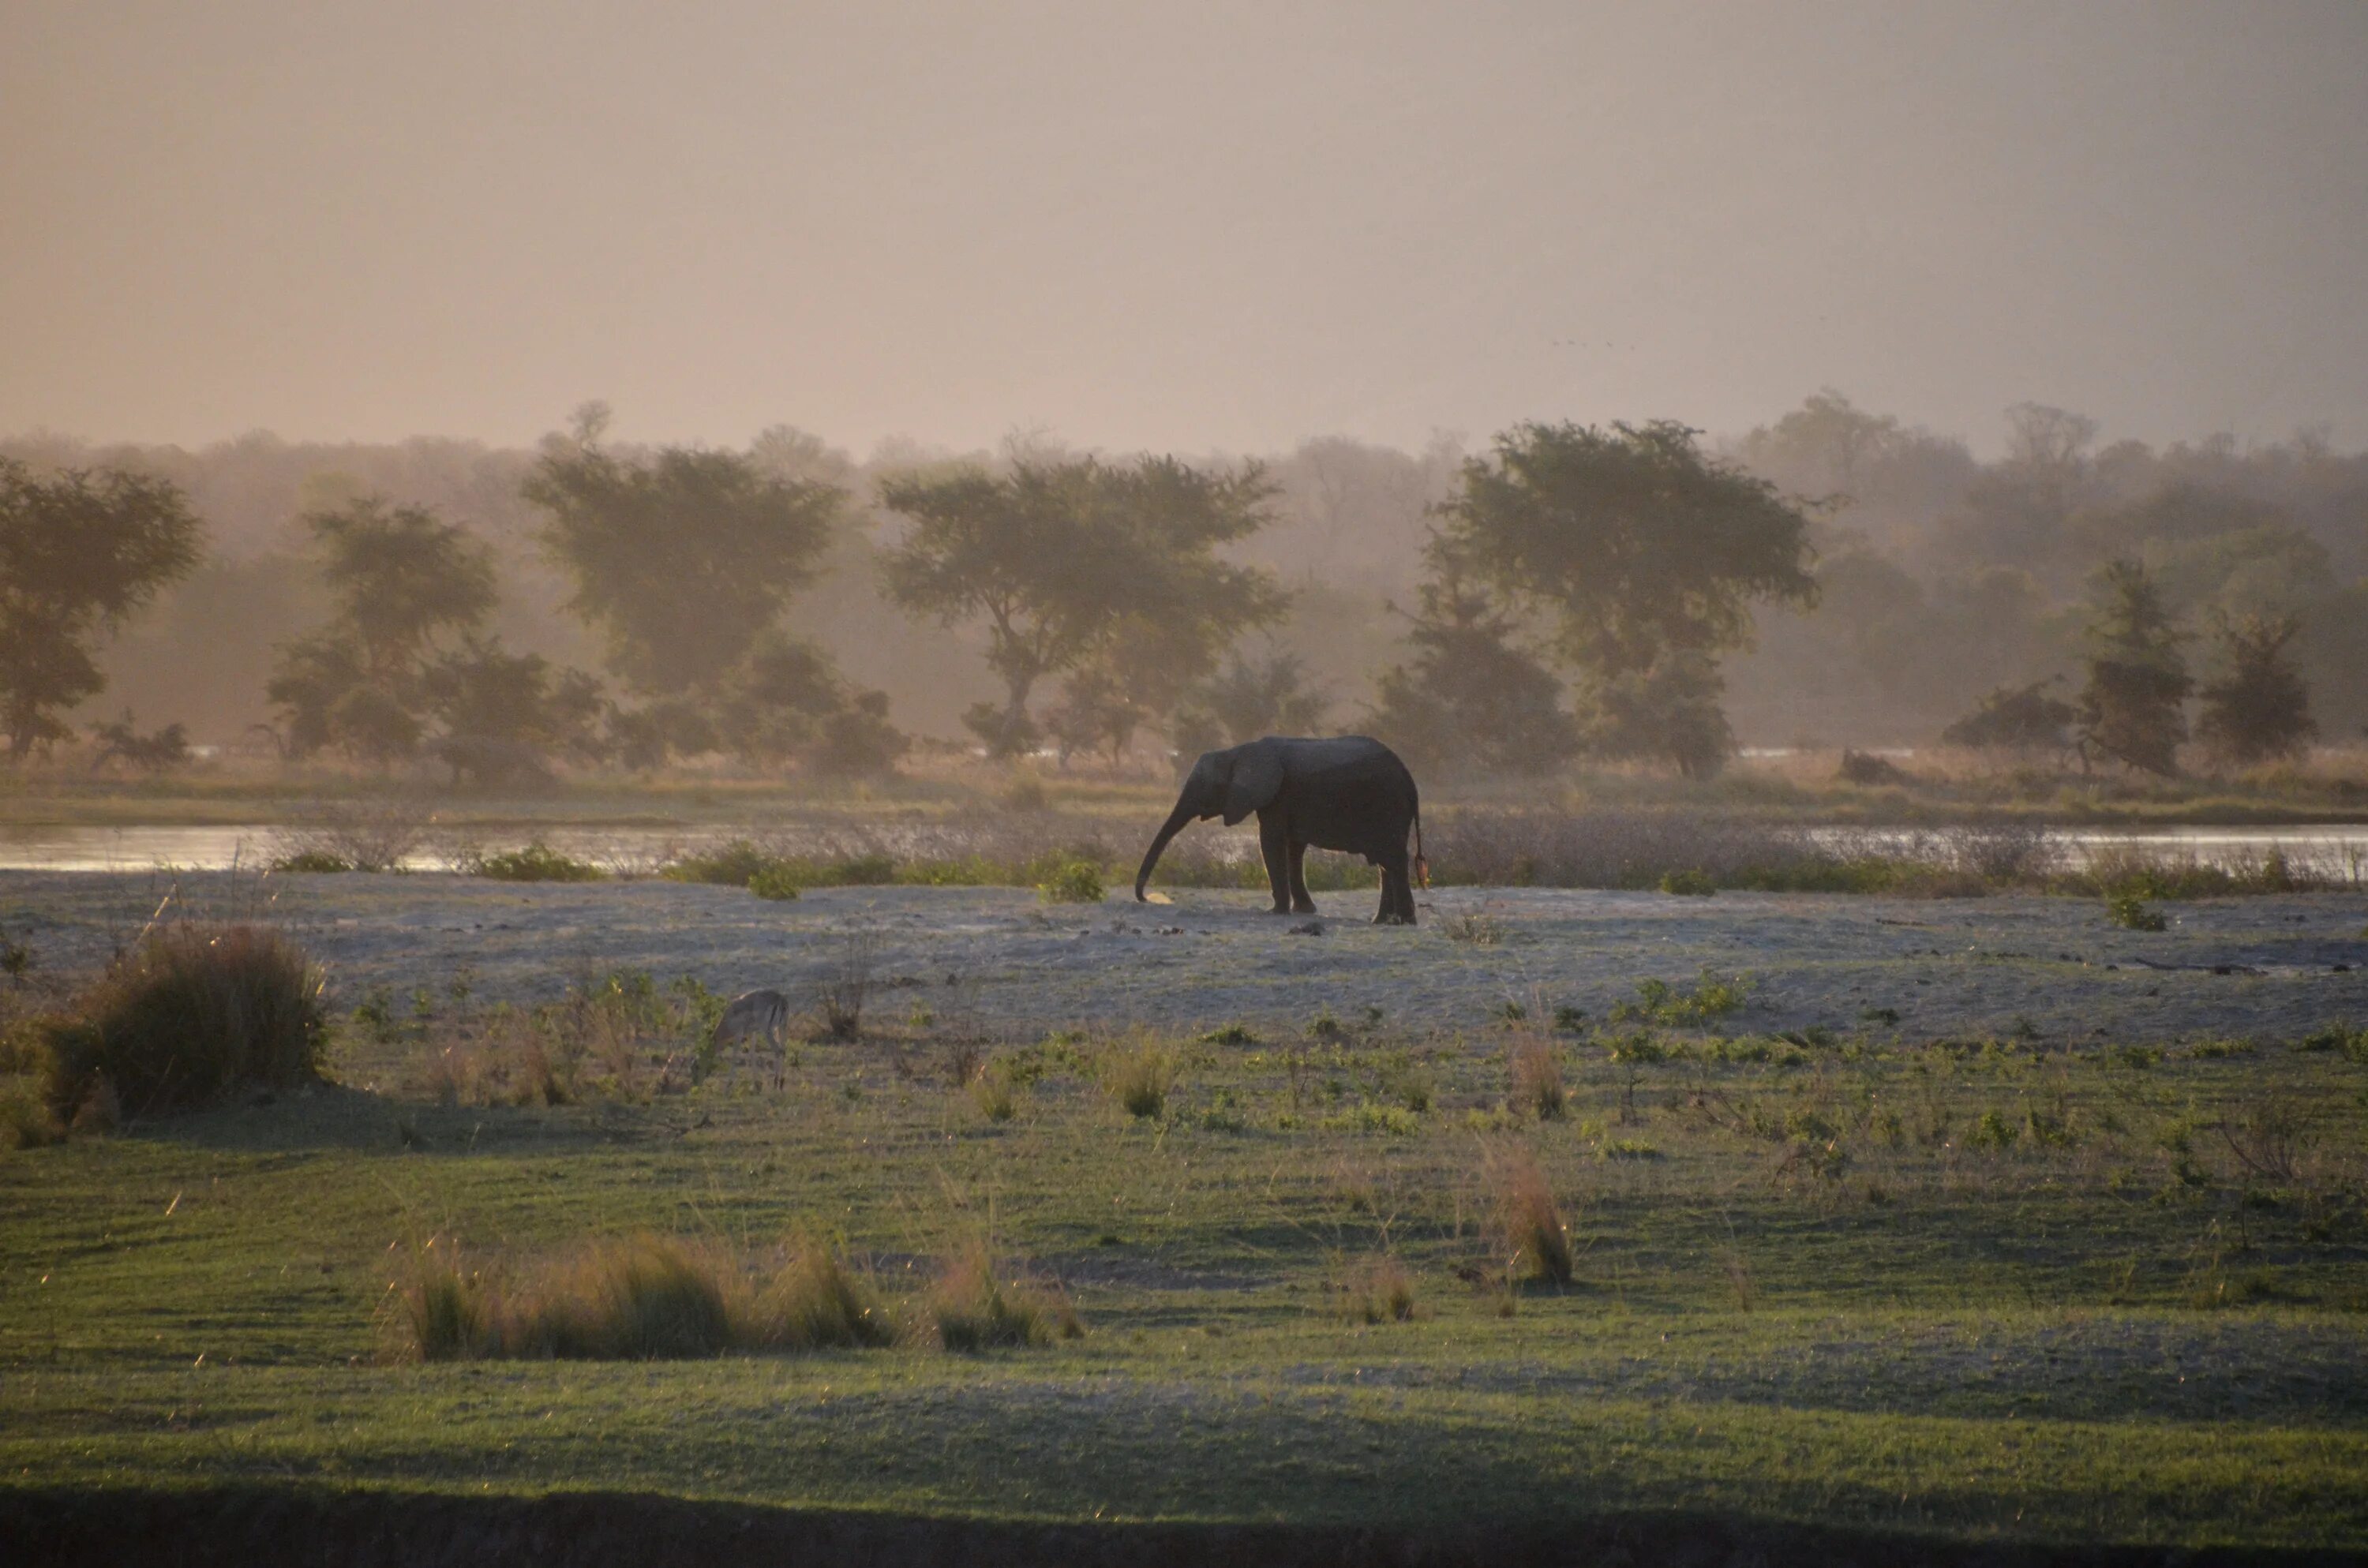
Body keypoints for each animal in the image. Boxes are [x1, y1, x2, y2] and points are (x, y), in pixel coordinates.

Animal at [1132, 743, 1421, 928]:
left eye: (1206, 786)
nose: (1148, 898)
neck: (1237, 751)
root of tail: (1409, 778)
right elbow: (1293, 847)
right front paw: (1303, 911)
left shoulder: (1278, 794)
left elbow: (1270, 841)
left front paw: (1275, 912)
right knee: (1385, 862)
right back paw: (1383, 921)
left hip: (1386, 805)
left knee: (1393, 858)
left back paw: (1404, 922)